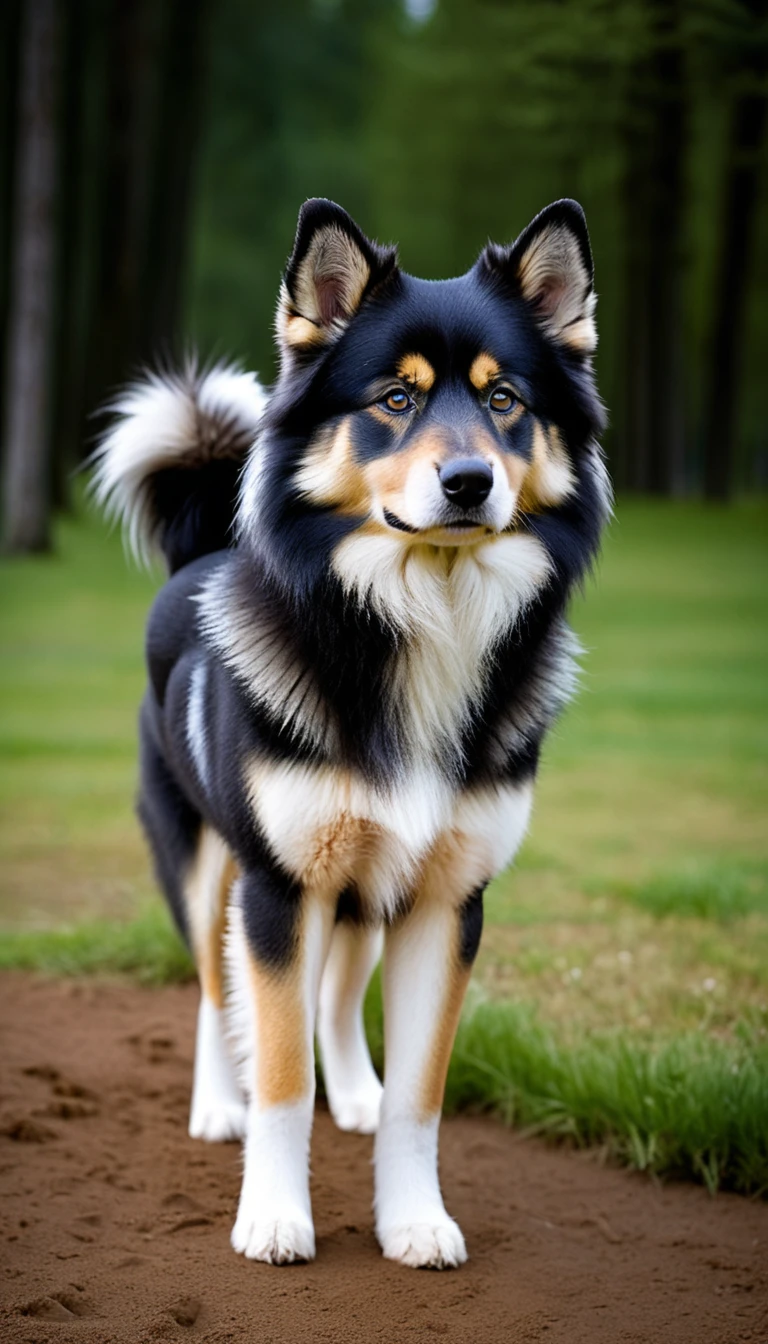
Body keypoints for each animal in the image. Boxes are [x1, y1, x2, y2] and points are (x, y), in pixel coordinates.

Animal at [93, 196, 610, 1268]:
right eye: (395, 399)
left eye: (506, 401)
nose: (469, 482)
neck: (419, 619)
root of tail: (198, 550)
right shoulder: (280, 887)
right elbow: (282, 1074)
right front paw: (274, 1216)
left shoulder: (448, 897)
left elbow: (421, 1094)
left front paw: (412, 1218)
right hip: (207, 863)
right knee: (215, 989)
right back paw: (218, 1104)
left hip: (371, 885)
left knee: (334, 995)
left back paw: (355, 1093)